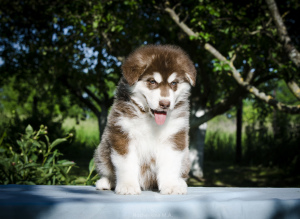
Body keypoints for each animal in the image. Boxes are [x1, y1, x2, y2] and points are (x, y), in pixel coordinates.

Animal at [94, 44, 197, 195]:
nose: (165, 104)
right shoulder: (123, 134)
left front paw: (171, 185)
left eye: (174, 83)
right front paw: (128, 186)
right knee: (108, 169)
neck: (150, 119)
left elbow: (170, 164)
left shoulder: (174, 137)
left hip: (186, 157)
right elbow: (126, 164)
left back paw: (180, 183)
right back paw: (106, 182)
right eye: (152, 81)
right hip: (102, 150)